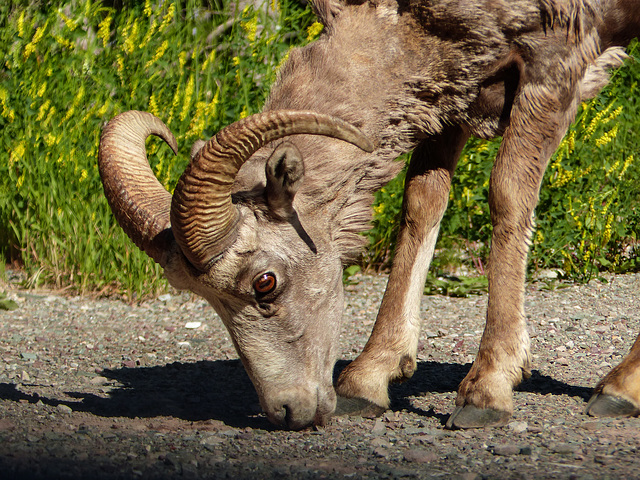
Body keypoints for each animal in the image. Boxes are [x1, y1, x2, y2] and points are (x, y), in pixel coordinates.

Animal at [97, 0, 636, 430]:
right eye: (204, 299)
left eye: (265, 283)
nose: (287, 412)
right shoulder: (453, 85)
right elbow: (423, 201)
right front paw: (367, 382)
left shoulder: (553, 56)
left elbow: (507, 194)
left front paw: (486, 393)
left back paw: (616, 391)